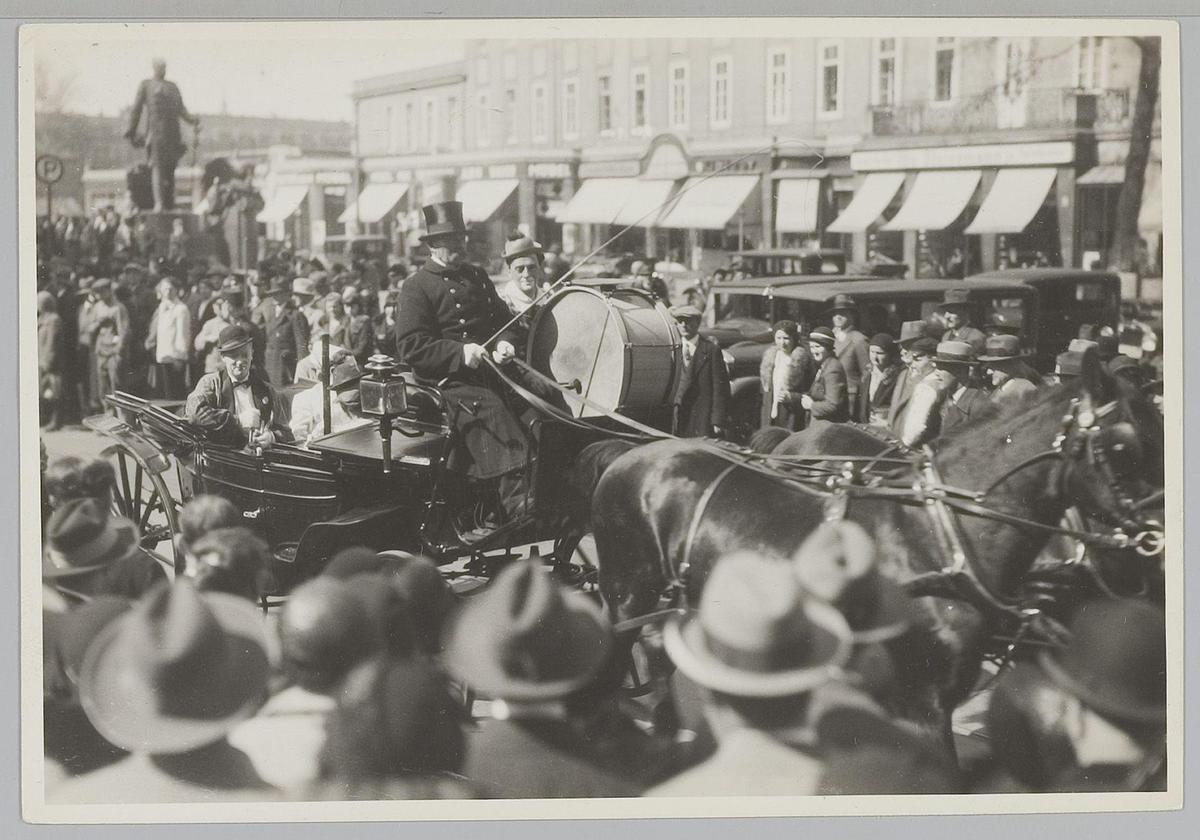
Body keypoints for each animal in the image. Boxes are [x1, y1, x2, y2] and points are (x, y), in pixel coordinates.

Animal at [588, 349, 1164, 737]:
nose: (1156, 542)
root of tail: (630, 454)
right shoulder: (924, 699)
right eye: (1123, 445)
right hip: (628, 594)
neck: (939, 537)